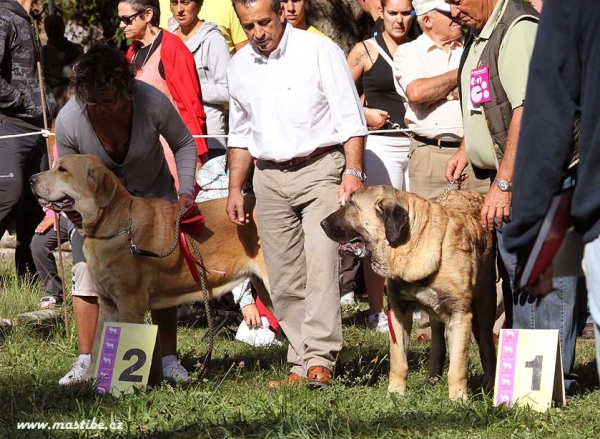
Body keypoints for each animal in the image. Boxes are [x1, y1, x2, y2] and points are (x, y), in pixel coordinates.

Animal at [29, 155, 270, 382]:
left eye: (62, 170)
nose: (31, 179)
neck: (114, 225)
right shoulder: (107, 302)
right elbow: (98, 343)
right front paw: (90, 378)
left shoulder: (130, 300)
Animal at [322, 186, 494, 402]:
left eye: (352, 204)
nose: (322, 223)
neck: (411, 246)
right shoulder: (399, 312)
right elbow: (399, 362)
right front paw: (395, 394)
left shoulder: (459, 315)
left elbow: (457, 368)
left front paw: (458, 400)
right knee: (438, 345)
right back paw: (431, 381)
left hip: (484, 305)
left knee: (486, 345)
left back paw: (488, 385)